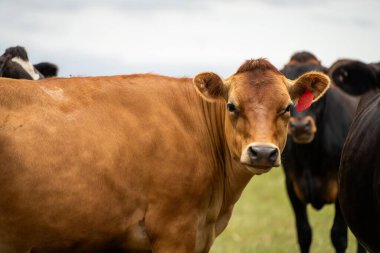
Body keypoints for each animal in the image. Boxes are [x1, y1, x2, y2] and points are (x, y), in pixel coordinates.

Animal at [282, 51, 366, 253]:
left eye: (314, 89)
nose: (300, 126)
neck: (310, 156)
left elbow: (339, 236)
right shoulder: (292, 186)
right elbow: (304, 233)